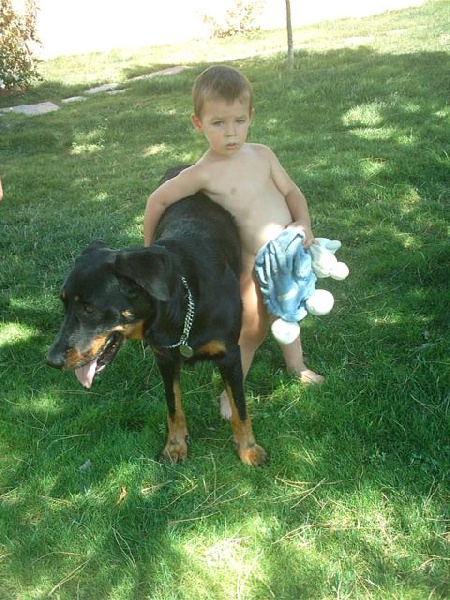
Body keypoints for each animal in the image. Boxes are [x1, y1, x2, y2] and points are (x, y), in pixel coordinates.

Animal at [46, 168, 267, 466]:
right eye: (64, 304)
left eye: (89, 309)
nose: (51, 360)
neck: (183, 307)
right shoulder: (164, 357)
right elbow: (173, 405)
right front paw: (175, 445)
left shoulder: (229, 354)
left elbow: (240, 407)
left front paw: (248, 449)